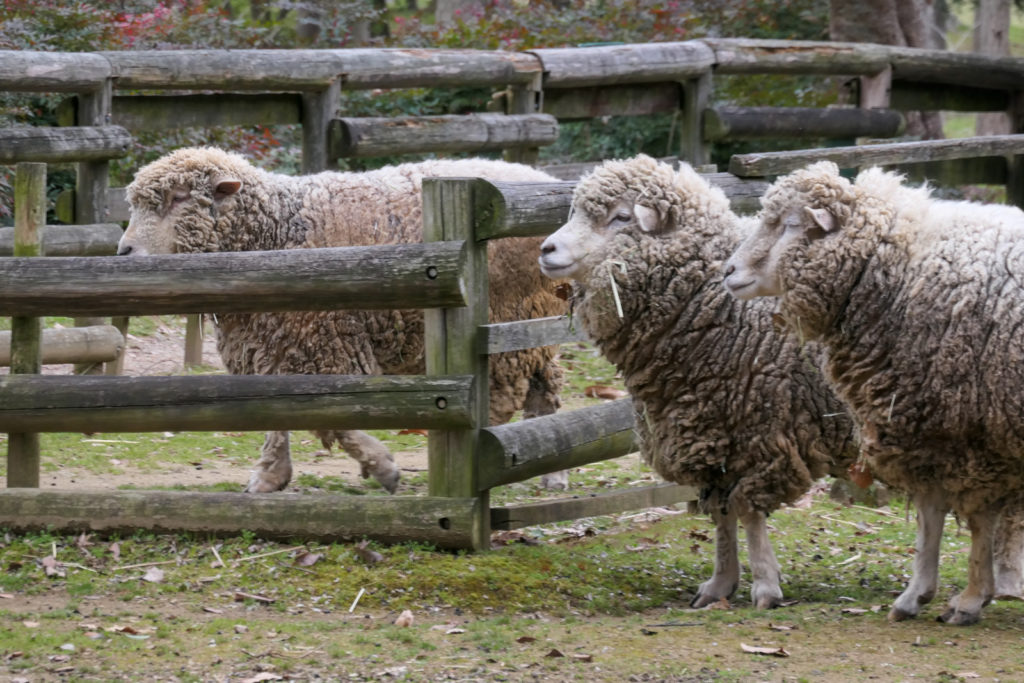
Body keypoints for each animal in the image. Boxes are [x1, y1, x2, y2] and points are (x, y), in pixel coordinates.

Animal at [120, 147, 573, 493]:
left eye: (180, 198)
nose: (124, 252)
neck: (276, 230)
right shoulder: (271, 343)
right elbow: (273, 413)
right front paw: (270, 476)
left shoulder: (323, 341)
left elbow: (334, 416)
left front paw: (383, 467)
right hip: (532, 323)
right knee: (544, 387)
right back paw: (549, 470)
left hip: (509, 317)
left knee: (508, 397)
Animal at [540, 156, 860, 610]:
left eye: (621, 217)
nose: (546, 250)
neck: (712, 302)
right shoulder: (711, 436)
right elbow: (723, 514)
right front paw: (720, 584)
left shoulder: (761, 434)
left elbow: (748, 510)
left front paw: (765, 585)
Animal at [724, 160, 1024, 626]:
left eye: (790, 224)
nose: (728, 272)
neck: (897, 271)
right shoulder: (929, 426)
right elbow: (930, 515)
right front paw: (920, 594)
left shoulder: (970, 432)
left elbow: (975, 521)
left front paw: (970, 598)